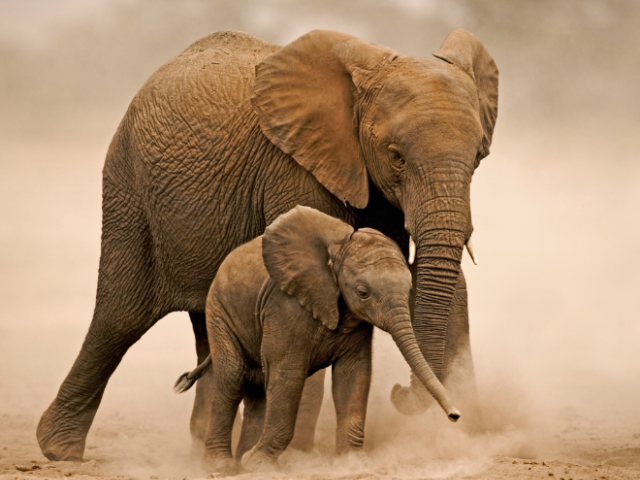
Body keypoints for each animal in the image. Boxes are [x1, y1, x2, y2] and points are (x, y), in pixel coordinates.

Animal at [175, 206, 460, 474]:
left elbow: (353, 375)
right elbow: (288, 376)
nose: (455, 415)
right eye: (363, 293)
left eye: (409, 289)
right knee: (233, 378)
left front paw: (353, 464)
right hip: (219, 311)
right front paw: (259, 464)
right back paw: (221, 466)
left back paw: (241, 460)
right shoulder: (285, 305)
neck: (337, 250)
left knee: (256, 386)